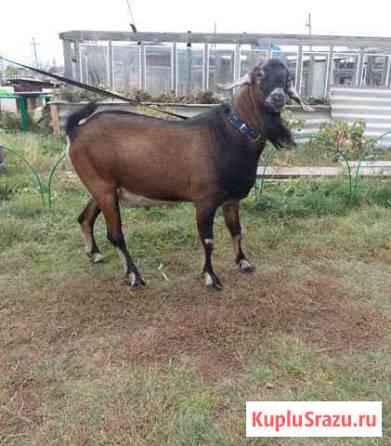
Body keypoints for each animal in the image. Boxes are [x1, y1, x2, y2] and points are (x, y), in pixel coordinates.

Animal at [66, 58, 312, 290]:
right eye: (260, 75)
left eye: (288, 78)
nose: (278, 97)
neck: (230, 134)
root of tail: (76, 131)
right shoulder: (204, 201)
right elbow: (208, 240)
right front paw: (211, 277)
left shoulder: (231, 199)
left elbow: (236, 231)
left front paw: (243, 262)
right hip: (102, 186)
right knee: (114, 233)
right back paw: (134, 276)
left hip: (104, 187)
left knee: (85, 217)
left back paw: (95, 254)